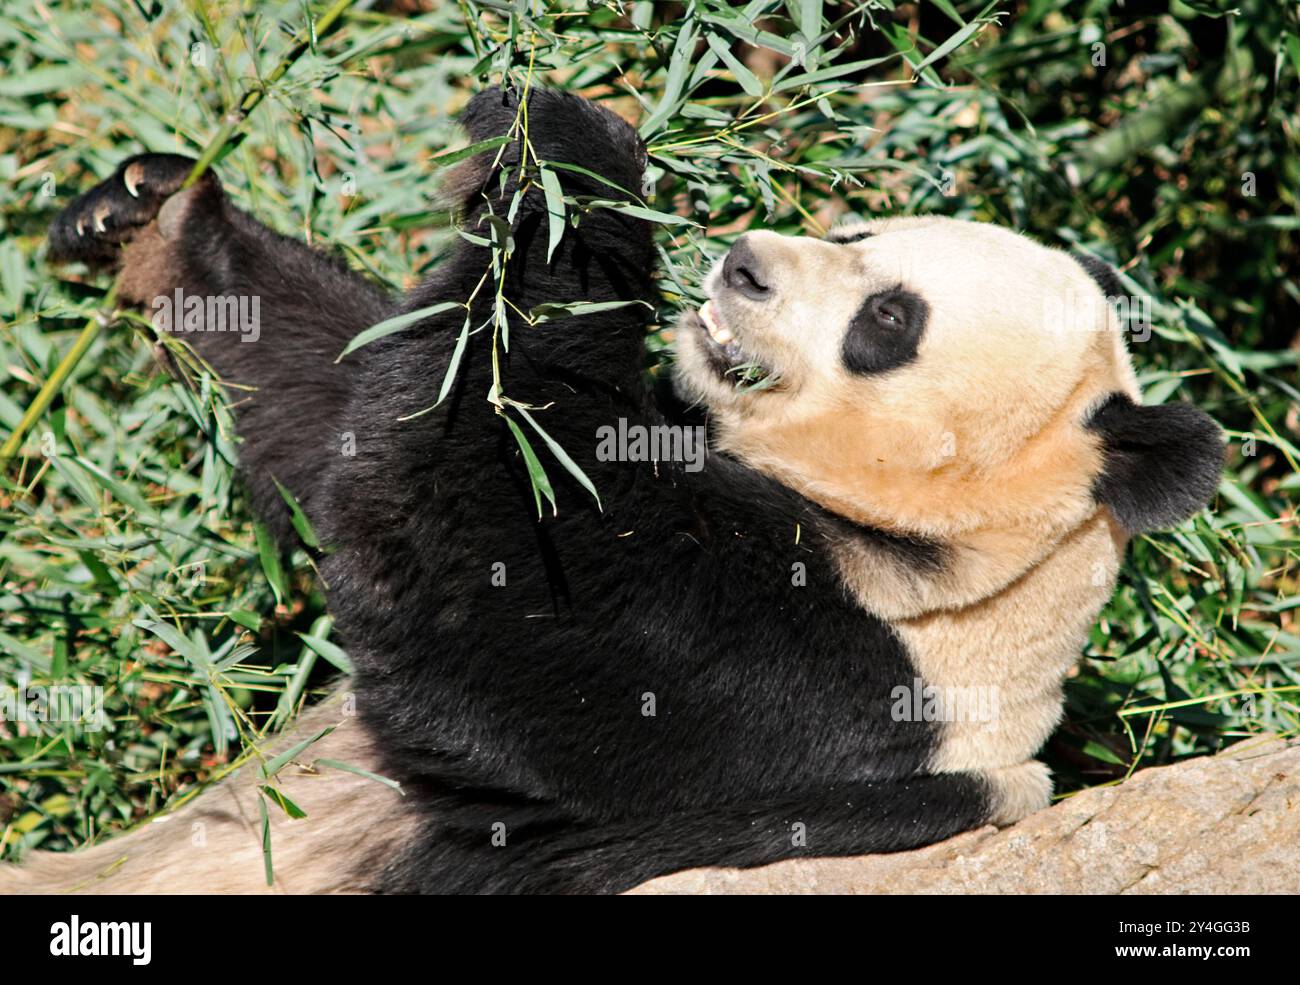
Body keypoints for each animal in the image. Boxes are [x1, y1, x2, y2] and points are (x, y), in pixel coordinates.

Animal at [2, 89, 1216, 899]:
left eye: (889, 319)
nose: (742, 266)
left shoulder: (811, 687)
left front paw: (570, 151)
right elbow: (349, 399)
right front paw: (151, 213)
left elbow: (485, 561)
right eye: (855, 231)